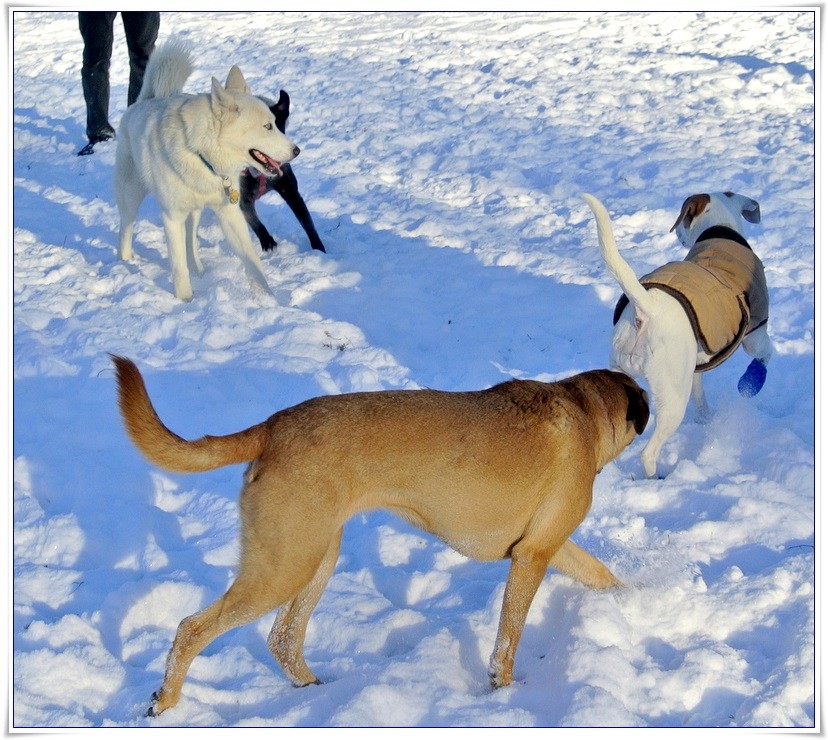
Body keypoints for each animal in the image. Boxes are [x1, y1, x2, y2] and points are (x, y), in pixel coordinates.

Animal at [111, 356, 648, 712]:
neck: (586, 408)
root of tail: (275, 425)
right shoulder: (533, 555)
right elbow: (509, 635)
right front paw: (503, 687)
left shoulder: (546, 546)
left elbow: (600, 572)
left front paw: (630, 599)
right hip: (282, 567)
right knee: (191, 629)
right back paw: (165, 703)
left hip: (314, 557)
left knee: (283, 638)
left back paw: (315, 689)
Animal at [115, 39, 300, 300]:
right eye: (267, 126)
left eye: (276, 123)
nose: (297, 151)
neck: (202, 156)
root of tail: (142, 102)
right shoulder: (172, 218)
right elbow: (178, 267)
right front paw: (185, 301)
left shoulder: (230, 214)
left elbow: (252, 260)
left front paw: (269, 298)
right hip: (131, 195)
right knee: (126, 228)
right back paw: (125, 260)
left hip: (195, 212)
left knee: (191, 243)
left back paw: (199, 271)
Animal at [238, 90, 326, 253]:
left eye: (280, 128)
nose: (296, 151)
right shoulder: (243, 199)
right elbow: (256, 222)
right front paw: (267, 241)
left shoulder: (290, 191)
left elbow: (307, 222)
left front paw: (319, 249)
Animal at [584, 194, 768, 476]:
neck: (721, 230)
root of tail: (646, 308)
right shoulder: (756, 333)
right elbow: (764, 357)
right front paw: (750, 384)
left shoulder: (695, 367)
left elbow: (700, 395)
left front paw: (705, 418)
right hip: (672, 401)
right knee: (648, 453)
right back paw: (655, 476)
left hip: (622, 375)